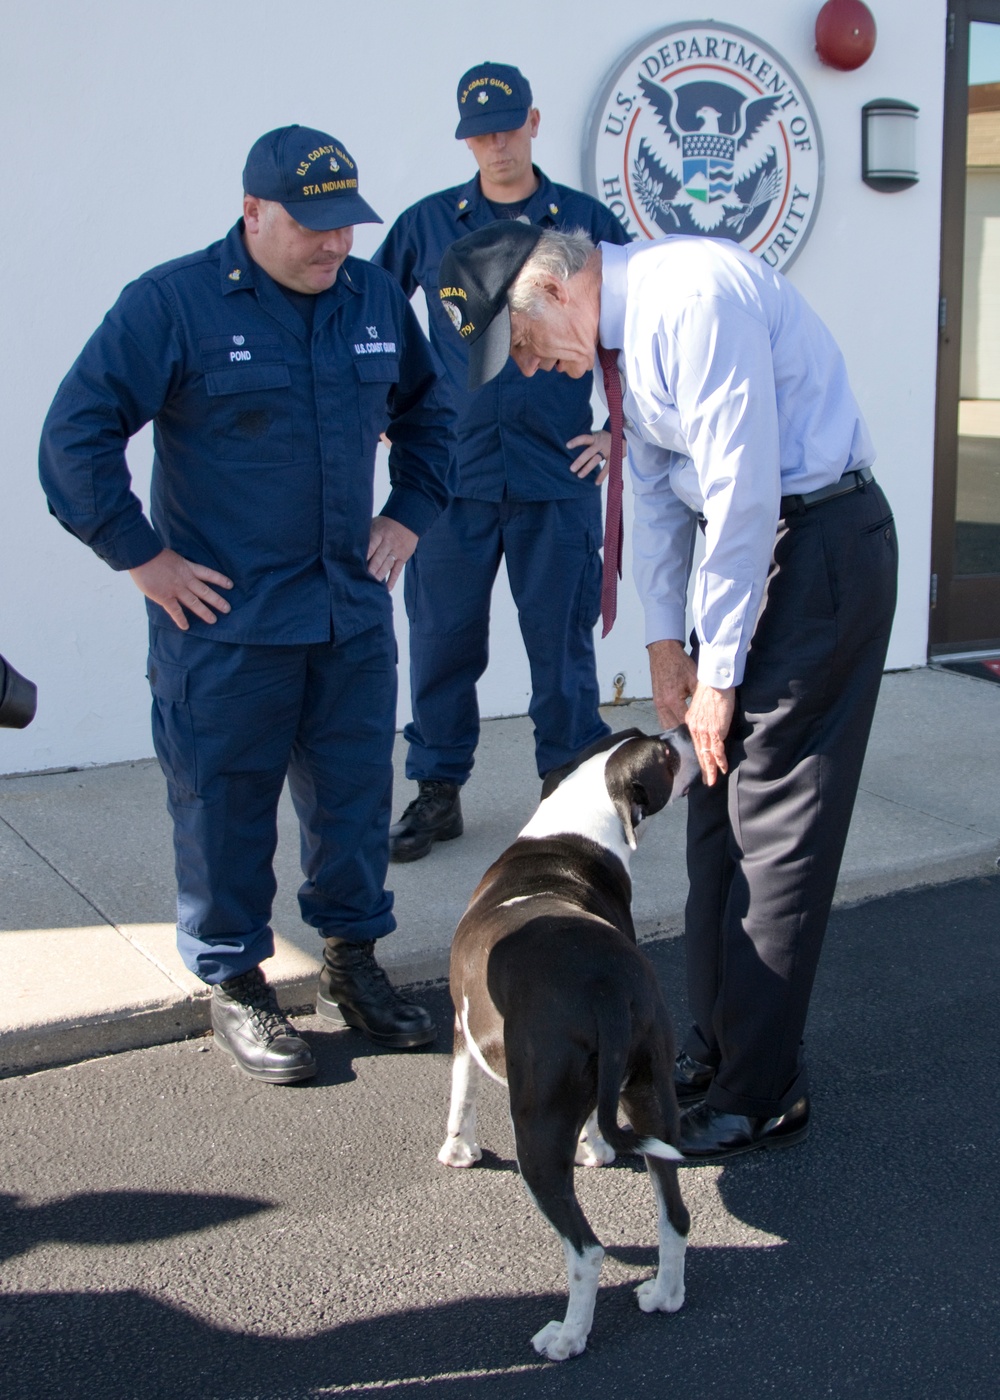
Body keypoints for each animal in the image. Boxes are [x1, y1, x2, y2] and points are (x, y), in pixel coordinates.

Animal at [436, 728, 700, 1360]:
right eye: (665, 752)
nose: (685, 731)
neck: (575, 829)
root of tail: (606, 989)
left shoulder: (460, 1024)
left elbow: (461, 1093)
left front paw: (458, 1151)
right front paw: (596, 1150)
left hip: (536, 1126)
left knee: (587, 1250)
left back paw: (567, 1337)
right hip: (652, 1095)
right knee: (674, 1214)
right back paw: (663, 1294)